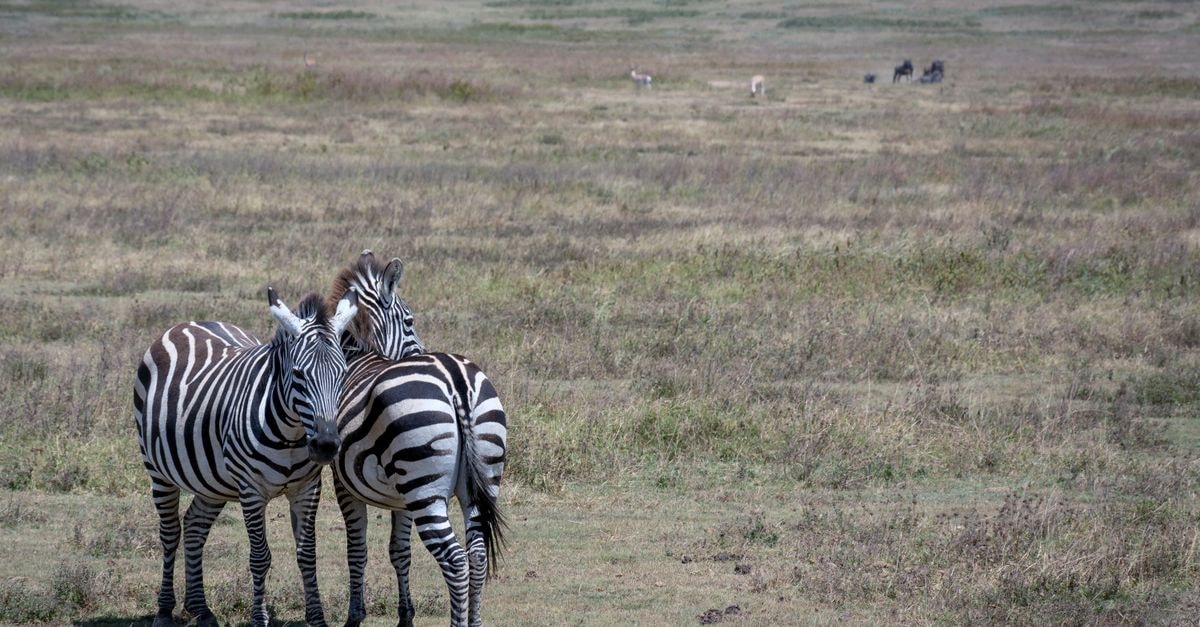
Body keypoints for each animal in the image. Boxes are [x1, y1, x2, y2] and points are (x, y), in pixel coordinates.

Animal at [133, 286, 358, 627]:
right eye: (298, 374)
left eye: (343, 373)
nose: (326, 445)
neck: (292, 433)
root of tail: (189, 323)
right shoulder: (252, 490)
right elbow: (260, 556)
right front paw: (259, 618)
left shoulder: (307, 488)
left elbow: (308, 554)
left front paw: (317, 620)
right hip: (157, 470)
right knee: (170, 532)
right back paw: (164, 610)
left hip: (212, 480)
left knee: (194, 525)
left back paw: (201, 609)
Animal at [328, 250, 508, 627]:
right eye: (410, 322)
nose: (419, 351)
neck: (359, 356)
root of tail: (455, 380)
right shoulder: (402, 498)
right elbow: (399, 551)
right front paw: (405, 617)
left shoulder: (344, 483)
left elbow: (357, 550)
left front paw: (354, 617)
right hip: (476, 478)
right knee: (477, 555)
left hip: (424, 491)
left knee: (455, 560)